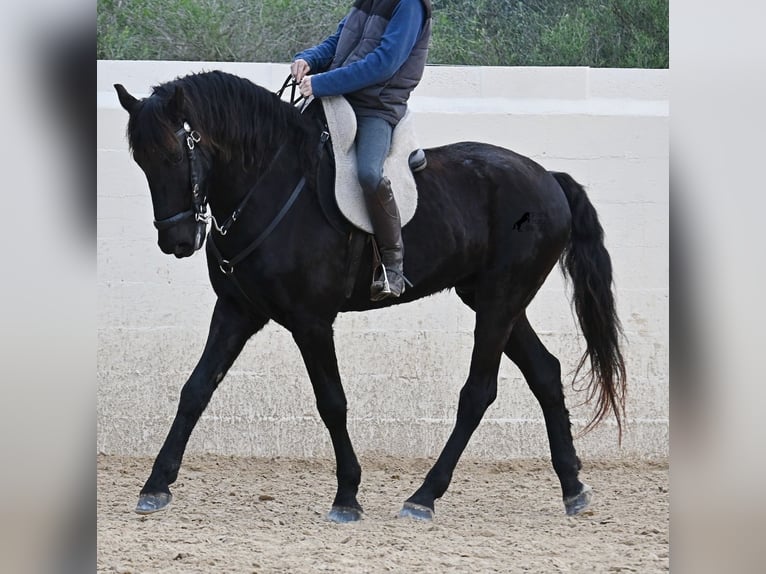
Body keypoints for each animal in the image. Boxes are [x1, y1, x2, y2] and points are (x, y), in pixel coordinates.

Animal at [114, 69, 626, 522]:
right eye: (141, 162)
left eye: (174, 156)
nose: (177, 241)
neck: (270, 187)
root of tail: (548, 178)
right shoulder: (237, 311)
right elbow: (196, 389)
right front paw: (155, 486)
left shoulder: (311, 321)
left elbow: (331, 402)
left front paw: (347, 497)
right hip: (496, 301)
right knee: (545, 373)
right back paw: (573, 488)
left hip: (501, 302)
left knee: (478, 392)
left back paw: (424, 496)